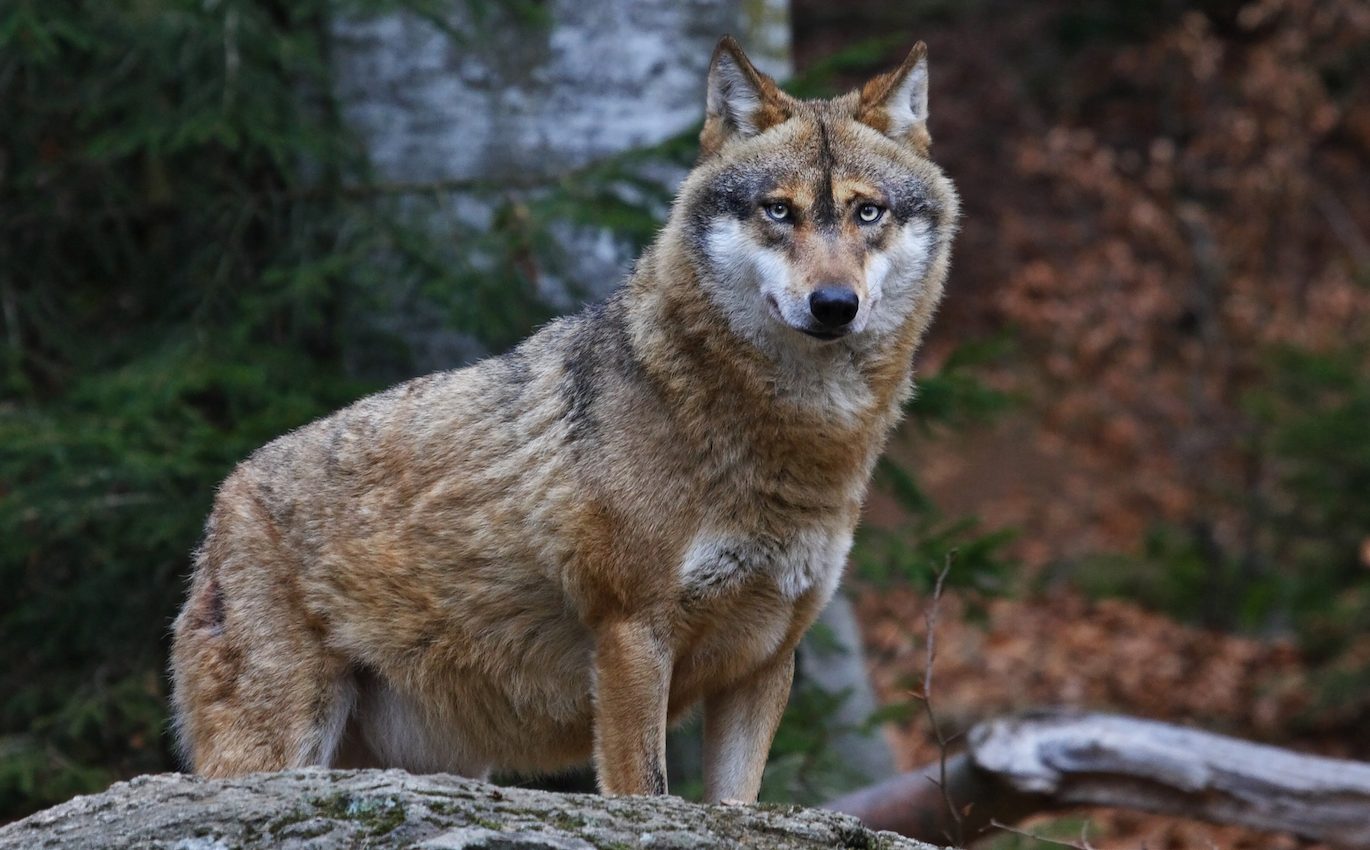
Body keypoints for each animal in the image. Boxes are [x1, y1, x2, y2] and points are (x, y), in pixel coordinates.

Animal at [170, 35, 958, 802]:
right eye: (779, 211)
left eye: (867, 212)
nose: (834, 305)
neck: (795, 441)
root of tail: (225, 495)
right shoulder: (632, 634)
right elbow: (645, 790)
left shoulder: (766, 660)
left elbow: (735, 805)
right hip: (279, 748)